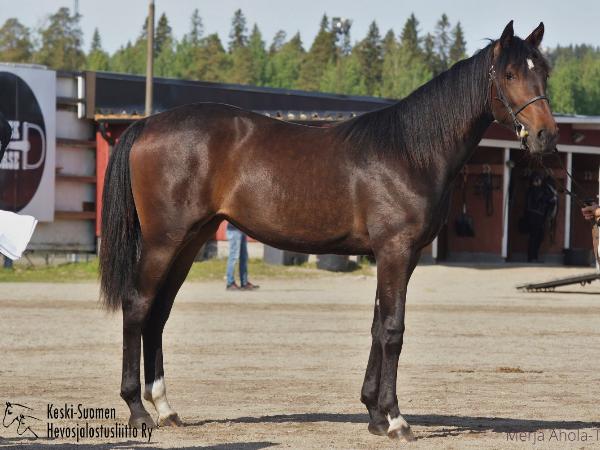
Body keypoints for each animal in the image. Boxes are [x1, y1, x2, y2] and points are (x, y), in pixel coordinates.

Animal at [99, 21, 557, 441]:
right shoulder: (395, 250)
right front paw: (396, 420)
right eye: (510, 74)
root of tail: (147, 125)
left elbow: (377, 326)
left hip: (192, 239)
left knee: (159, 312)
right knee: (138, 306)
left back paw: (166, 408)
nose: (546, 135)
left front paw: (374, 415)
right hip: (164, 240)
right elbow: (393, 330)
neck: (410, 152)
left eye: (545, 72)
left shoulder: (400, 257)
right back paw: (138, 410)